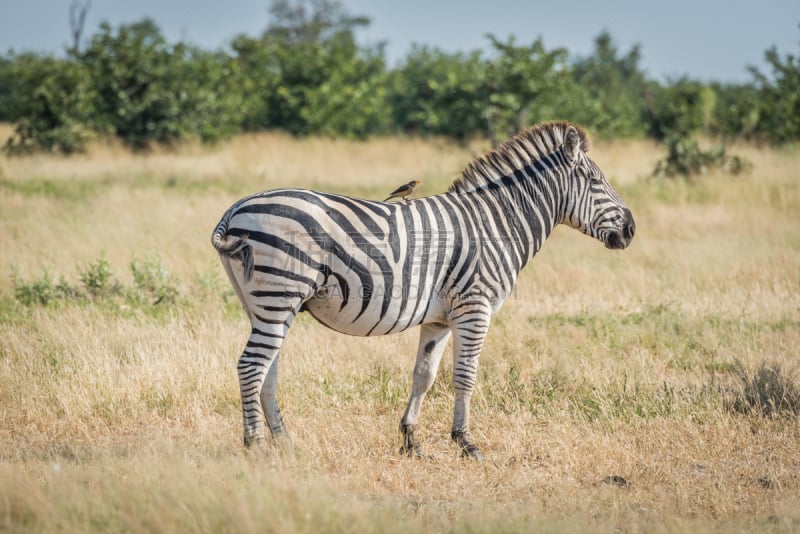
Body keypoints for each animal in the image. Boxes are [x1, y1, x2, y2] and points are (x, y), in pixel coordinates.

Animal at [214, 121, 636, 460]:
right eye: (597, 182)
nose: (632, 229)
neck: (496, 223)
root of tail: (235, 209)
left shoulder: (439, 319)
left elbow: (425, 375)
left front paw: (410, 441)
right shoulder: (474, 308)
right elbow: (465, 375)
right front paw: (466, 443)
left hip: (264, 304)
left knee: (267, 369)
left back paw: (285, 441)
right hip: (279, 293)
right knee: (251, 365)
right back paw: (256, 445)